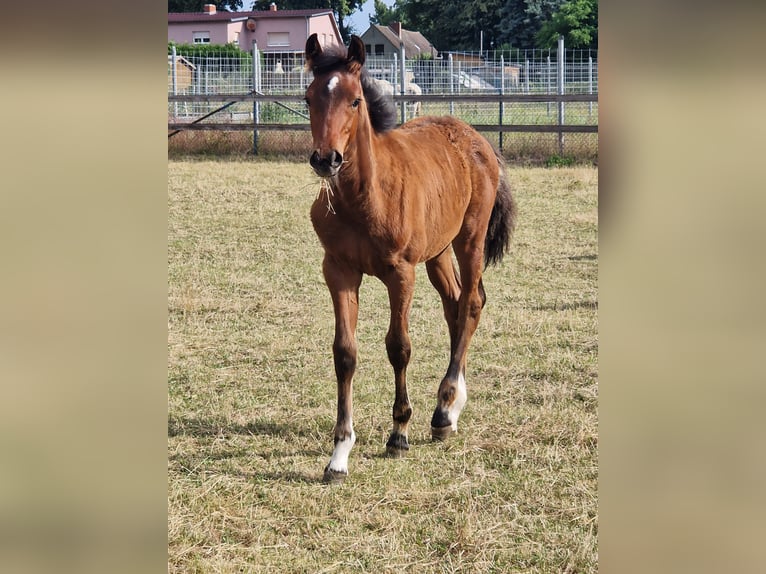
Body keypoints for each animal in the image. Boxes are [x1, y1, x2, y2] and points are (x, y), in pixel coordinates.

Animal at [304, 34, 517, 483]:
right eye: (309, 97)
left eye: (354, 101)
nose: (326, 159)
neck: (364, 197)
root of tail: (476, 138)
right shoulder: (338, 270)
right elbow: (344, 353)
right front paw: (339, 453)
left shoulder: (400, 273)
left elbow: (398, 346)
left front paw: (398, 432)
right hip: (437, 252)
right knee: (455, 306)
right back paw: (451, 405)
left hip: (469, 240)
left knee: (471, 303)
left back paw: (445, 410)